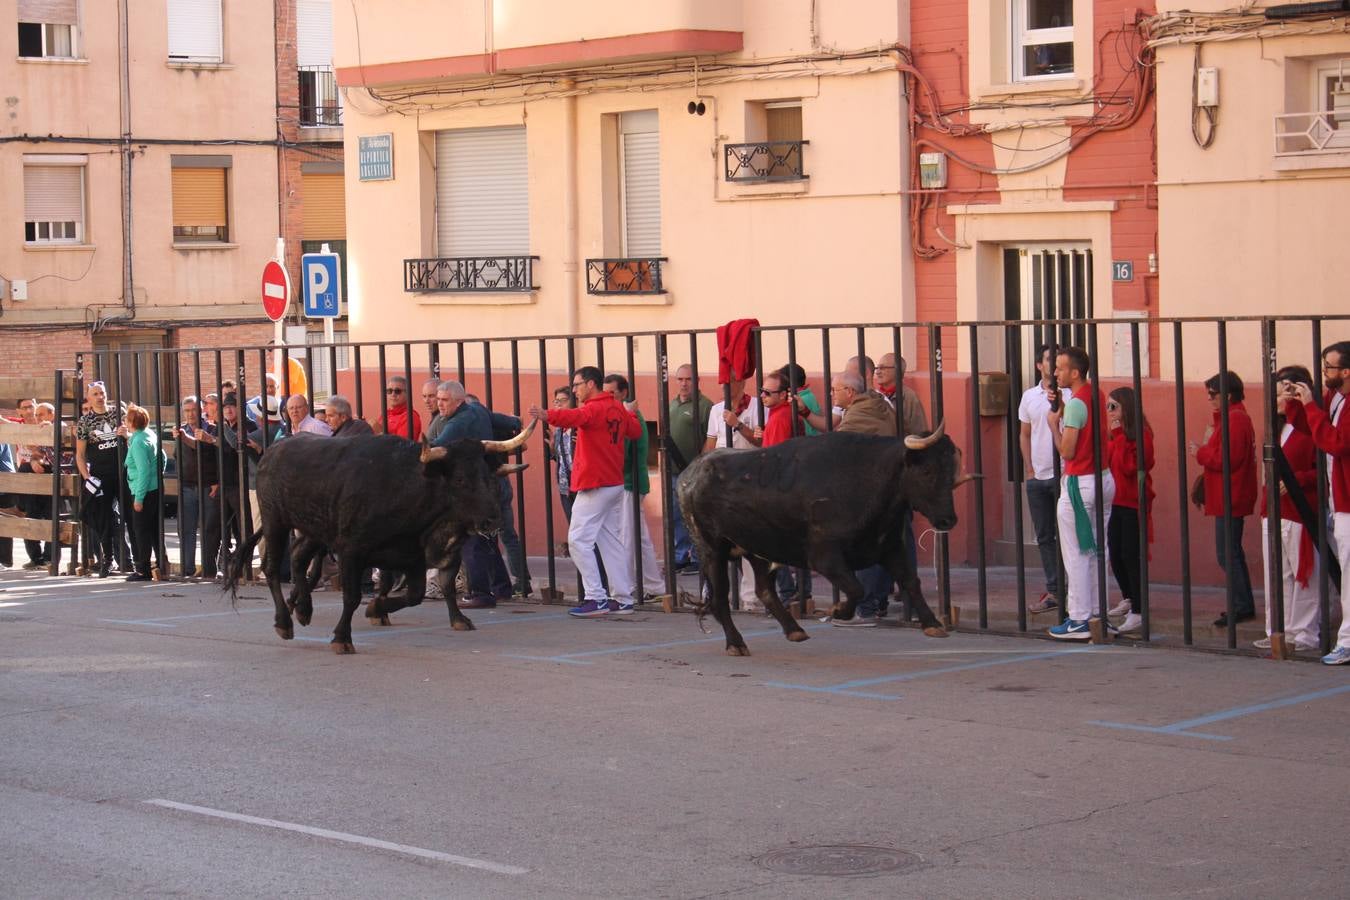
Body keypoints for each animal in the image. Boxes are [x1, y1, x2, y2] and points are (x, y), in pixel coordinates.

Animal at [222, 426, 531, 650]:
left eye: (489, 478)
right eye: (460, 480)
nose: (493, 520)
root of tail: (273, 450)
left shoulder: (412, 557)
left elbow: (416, 594)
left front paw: (376, 608)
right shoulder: (351, 551)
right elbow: (352, 597)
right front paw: (342, 638)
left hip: (313, 529)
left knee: (298, 559)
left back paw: (303, 609)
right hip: (275, 522)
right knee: (273, 569)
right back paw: (285, 621)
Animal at [680, 426, 977, 658]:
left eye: (950, 471)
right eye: (926, 470)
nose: (948, 520)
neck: (869, 480)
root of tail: (690, 474)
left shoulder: (890, 548)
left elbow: (910, 581)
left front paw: (932, 624)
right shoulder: (825, 557)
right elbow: (857, 588)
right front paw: (839, 611)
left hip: (758, 549)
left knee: (764, 590)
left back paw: (794, 630)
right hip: (711, 549)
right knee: (720, 599)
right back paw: (736, 643)